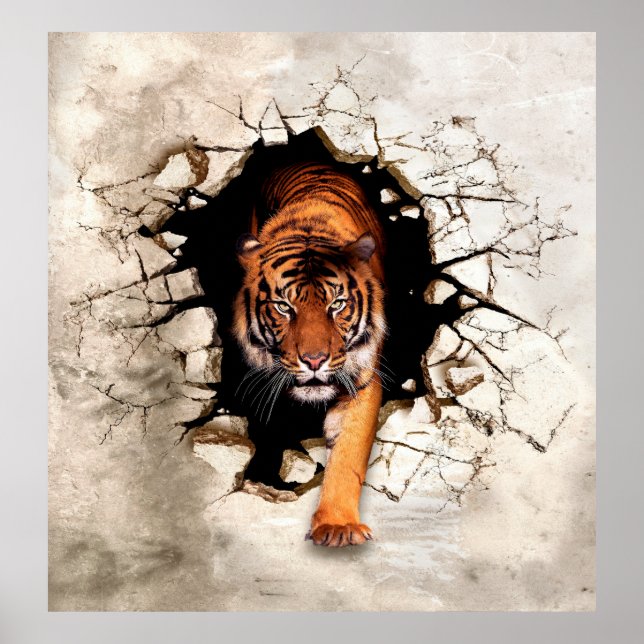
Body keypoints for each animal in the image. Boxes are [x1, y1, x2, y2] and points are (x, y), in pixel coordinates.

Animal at [233, 161, 386, 547]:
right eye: (284, 307)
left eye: (337, 305)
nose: (315, 360)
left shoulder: (362, 382)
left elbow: (348, 456)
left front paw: (338, 525)